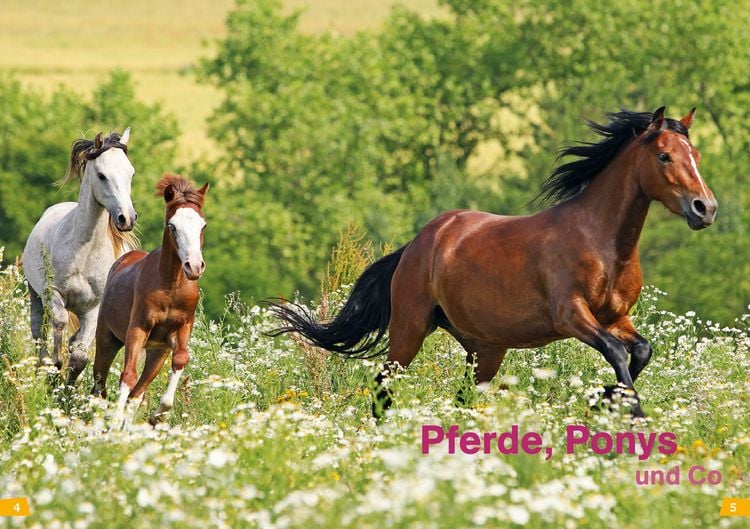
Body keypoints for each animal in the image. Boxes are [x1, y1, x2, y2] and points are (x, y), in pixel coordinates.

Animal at [23, 129, 137, 383]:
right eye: (102, 175)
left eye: (130, 173)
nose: (127, 218)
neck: (85, 253)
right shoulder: (53, 293)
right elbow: (59, 322)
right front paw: (54, 369)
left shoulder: (94, 307)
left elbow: (80, 358)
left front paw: (66, 389)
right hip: (35, 295)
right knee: (37, 332)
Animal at [91, 174, 208, 430]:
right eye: (172, 226)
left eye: (203, 225)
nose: (194, 266)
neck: (171, 287)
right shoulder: (138, 329)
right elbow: (127, 376)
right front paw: (114, 424)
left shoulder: (180, 329)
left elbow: (180, 359)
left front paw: (158, 415)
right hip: (107, 339)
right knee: (99, 384)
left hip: (156, 352)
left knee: (138, 392)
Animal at [269, 107, 718, 418]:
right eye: (664, 156)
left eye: (695, 153)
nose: (706, 208)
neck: (602, 242)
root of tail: (419, 243)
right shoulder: (572, 315)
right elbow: (618, 353)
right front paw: (629, 409)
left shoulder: (615, 317)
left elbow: (641, 350)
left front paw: (605, 398)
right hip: (409, 329)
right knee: (383, 386)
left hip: (484, 349)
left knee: (462, 397)